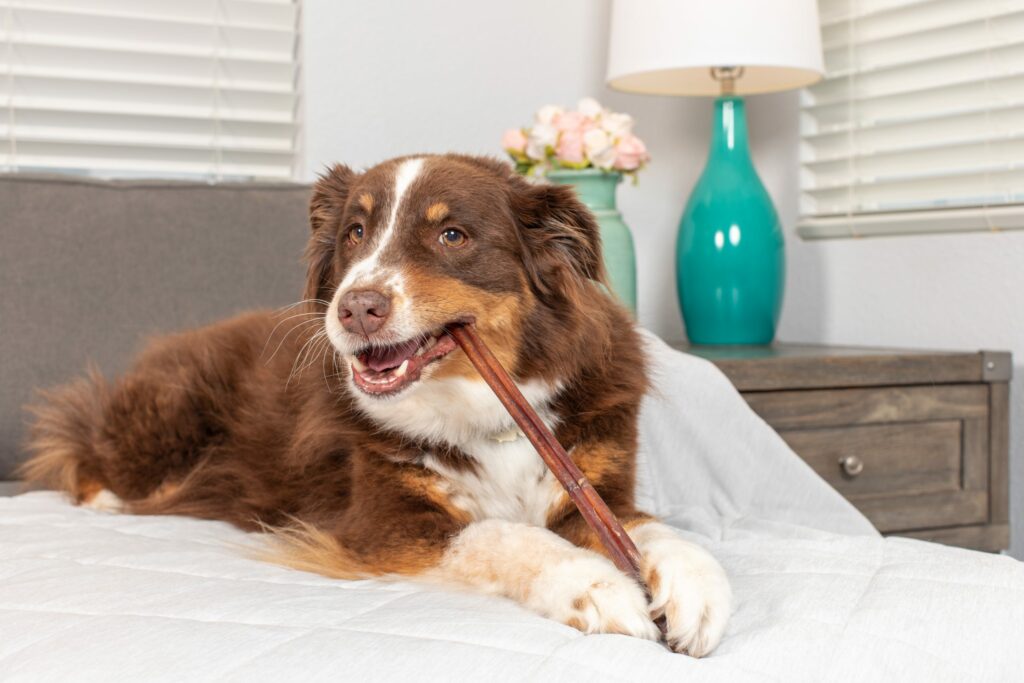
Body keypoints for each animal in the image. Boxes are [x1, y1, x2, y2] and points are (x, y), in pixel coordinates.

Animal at [22, 153, 729, 655]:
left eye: (452, 235)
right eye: (355, 233)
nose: (356, 308)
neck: (490, 410)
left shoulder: (596, 489)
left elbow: (651, 531)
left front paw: (696, 586)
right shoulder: (382, 524)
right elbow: (502, 533)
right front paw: (598, 586)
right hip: (170, 413)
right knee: (86, 453)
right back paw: (113, 499)